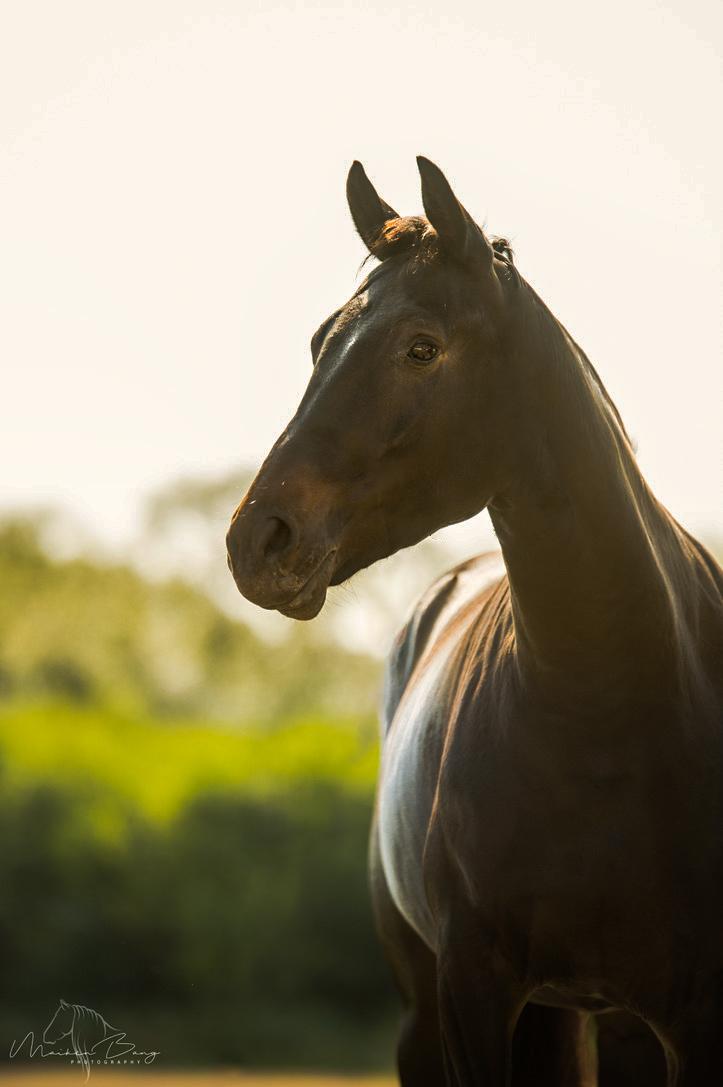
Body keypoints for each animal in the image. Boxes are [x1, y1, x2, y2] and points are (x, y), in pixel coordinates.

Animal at [227, 155, 721, 1087]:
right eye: (318, 343)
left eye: (420, 347)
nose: (256, 540)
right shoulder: (472, 995)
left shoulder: (692, 1017)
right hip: (440, 1013)